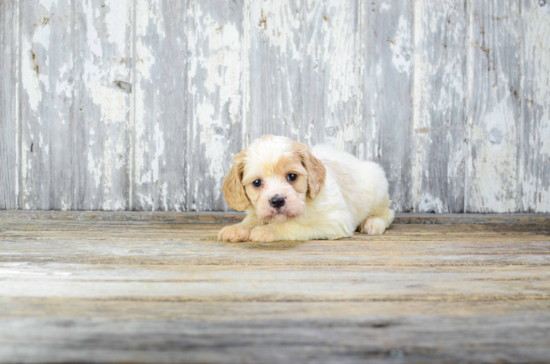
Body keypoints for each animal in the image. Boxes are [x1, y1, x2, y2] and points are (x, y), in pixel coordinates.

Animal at [218, 134, 394, 242]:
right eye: (256, 183)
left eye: (292, 176)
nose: (277, 201)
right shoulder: (258, 210)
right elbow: (252, 219)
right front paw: (237, 228)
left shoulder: (334, 221)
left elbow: (293, 225)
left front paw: (268, 230)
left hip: (378, 191)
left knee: (388, 214)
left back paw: (373, 223)